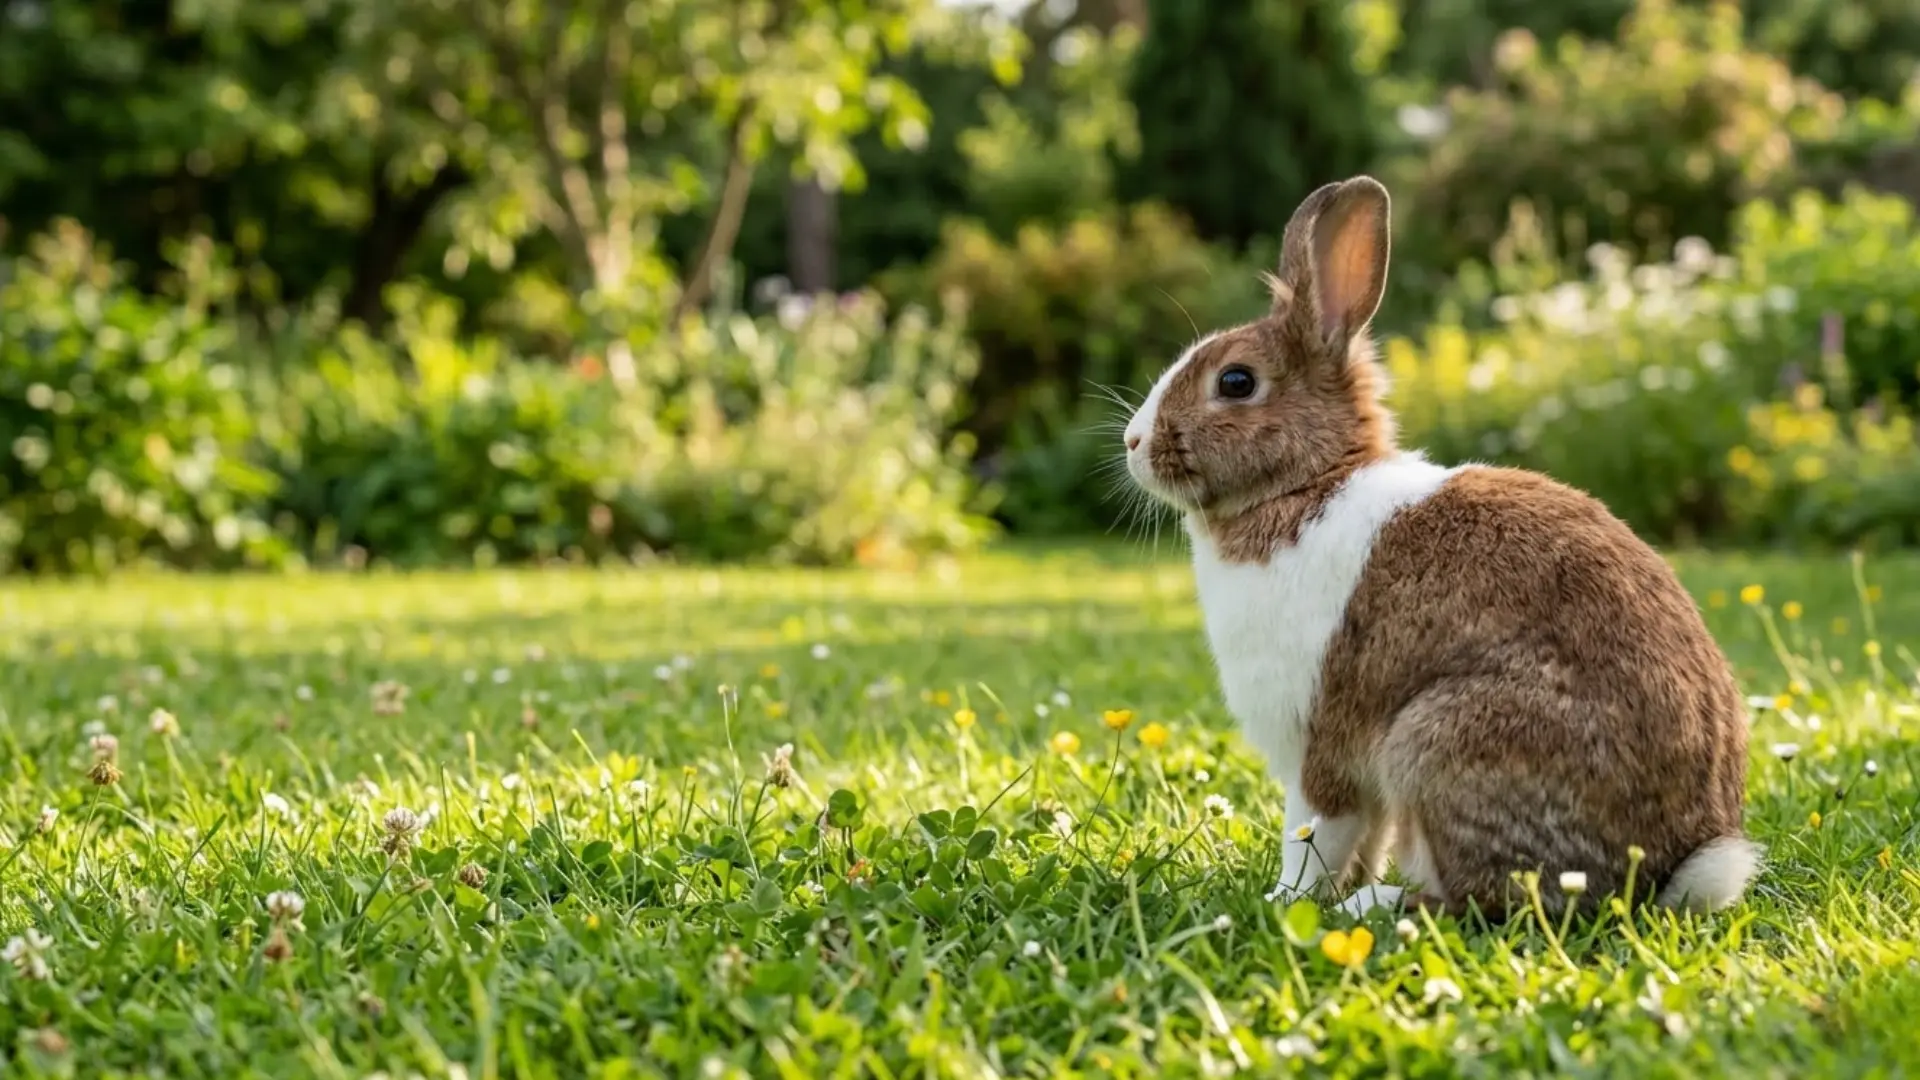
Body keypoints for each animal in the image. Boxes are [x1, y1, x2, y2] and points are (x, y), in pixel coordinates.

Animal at [1120, 175, 1758, 919]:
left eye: (1236, 382)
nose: (1133, 443)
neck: (1308, 483)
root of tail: (1669, 867)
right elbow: (1360, 841)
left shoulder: (1320, 742)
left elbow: (1315, 834)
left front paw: (1286, 901)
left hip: (1437, 742)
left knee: (1483, 899)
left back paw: (1373, 907)